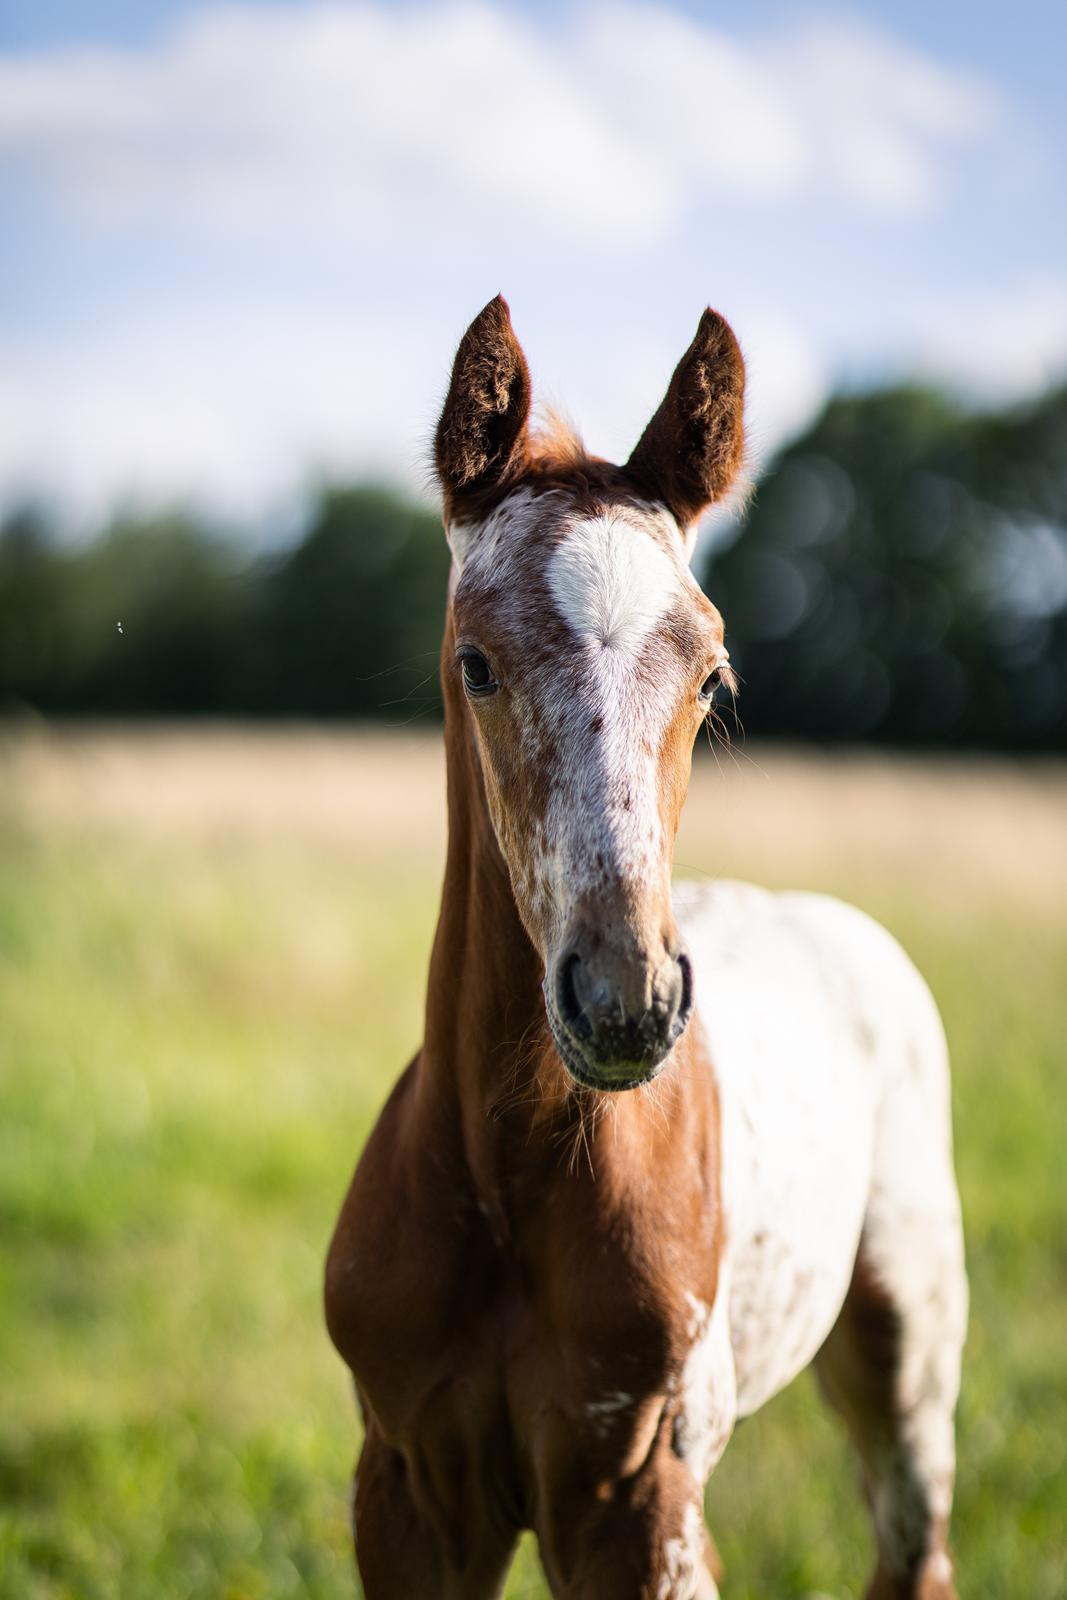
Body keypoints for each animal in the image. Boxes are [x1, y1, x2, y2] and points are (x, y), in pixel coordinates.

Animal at [326, 294, 966, 1593]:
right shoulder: (407, 1492)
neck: (509, 1185)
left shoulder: (638, 1500)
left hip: (907, 1355)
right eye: (476, 662)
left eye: (711, 677)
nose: (625, 1001)